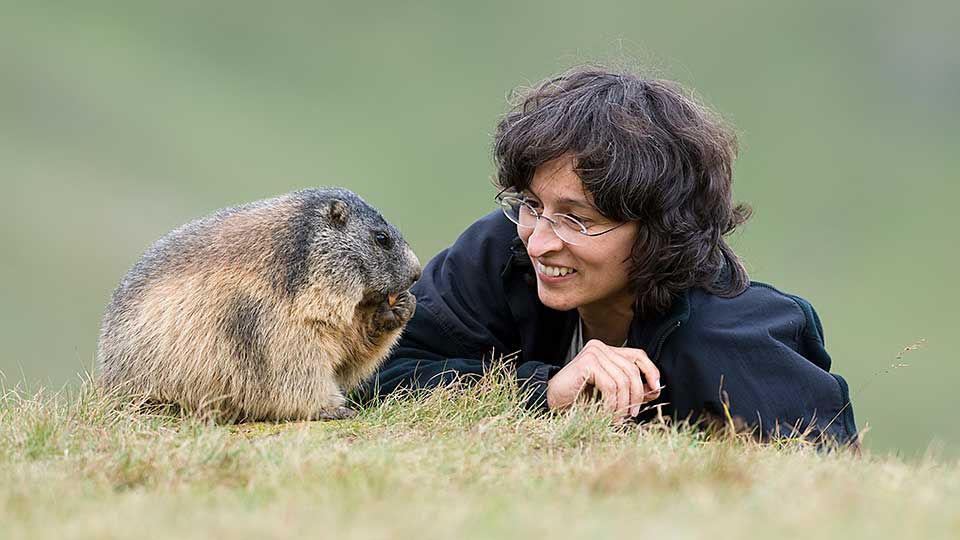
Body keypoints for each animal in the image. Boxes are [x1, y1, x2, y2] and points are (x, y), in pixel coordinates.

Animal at [97, 187, 421, 421]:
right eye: (382, 238)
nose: (418, 272)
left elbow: (346, 346)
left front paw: (396, 309)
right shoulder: (267, 315)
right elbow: (294, 364)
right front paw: (335, 408)